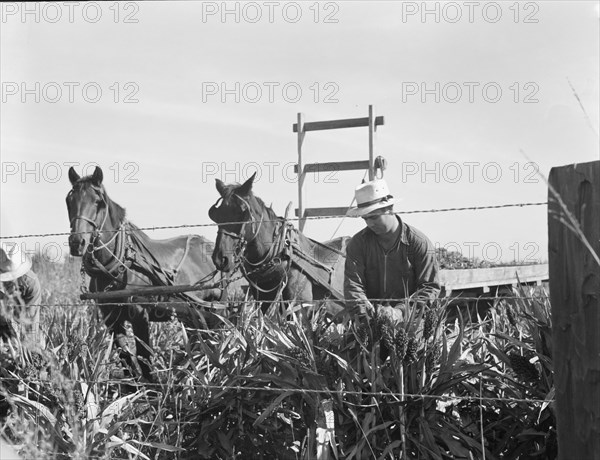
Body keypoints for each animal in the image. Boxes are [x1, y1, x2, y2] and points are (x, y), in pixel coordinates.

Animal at [65, 166, 224, 380]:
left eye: (98, 202)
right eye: (69, 201)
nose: (77, 243)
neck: (120, 264)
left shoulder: (140, 314)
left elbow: (144, 356)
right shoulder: (110, 317)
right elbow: (124, 355)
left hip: (212, 306)